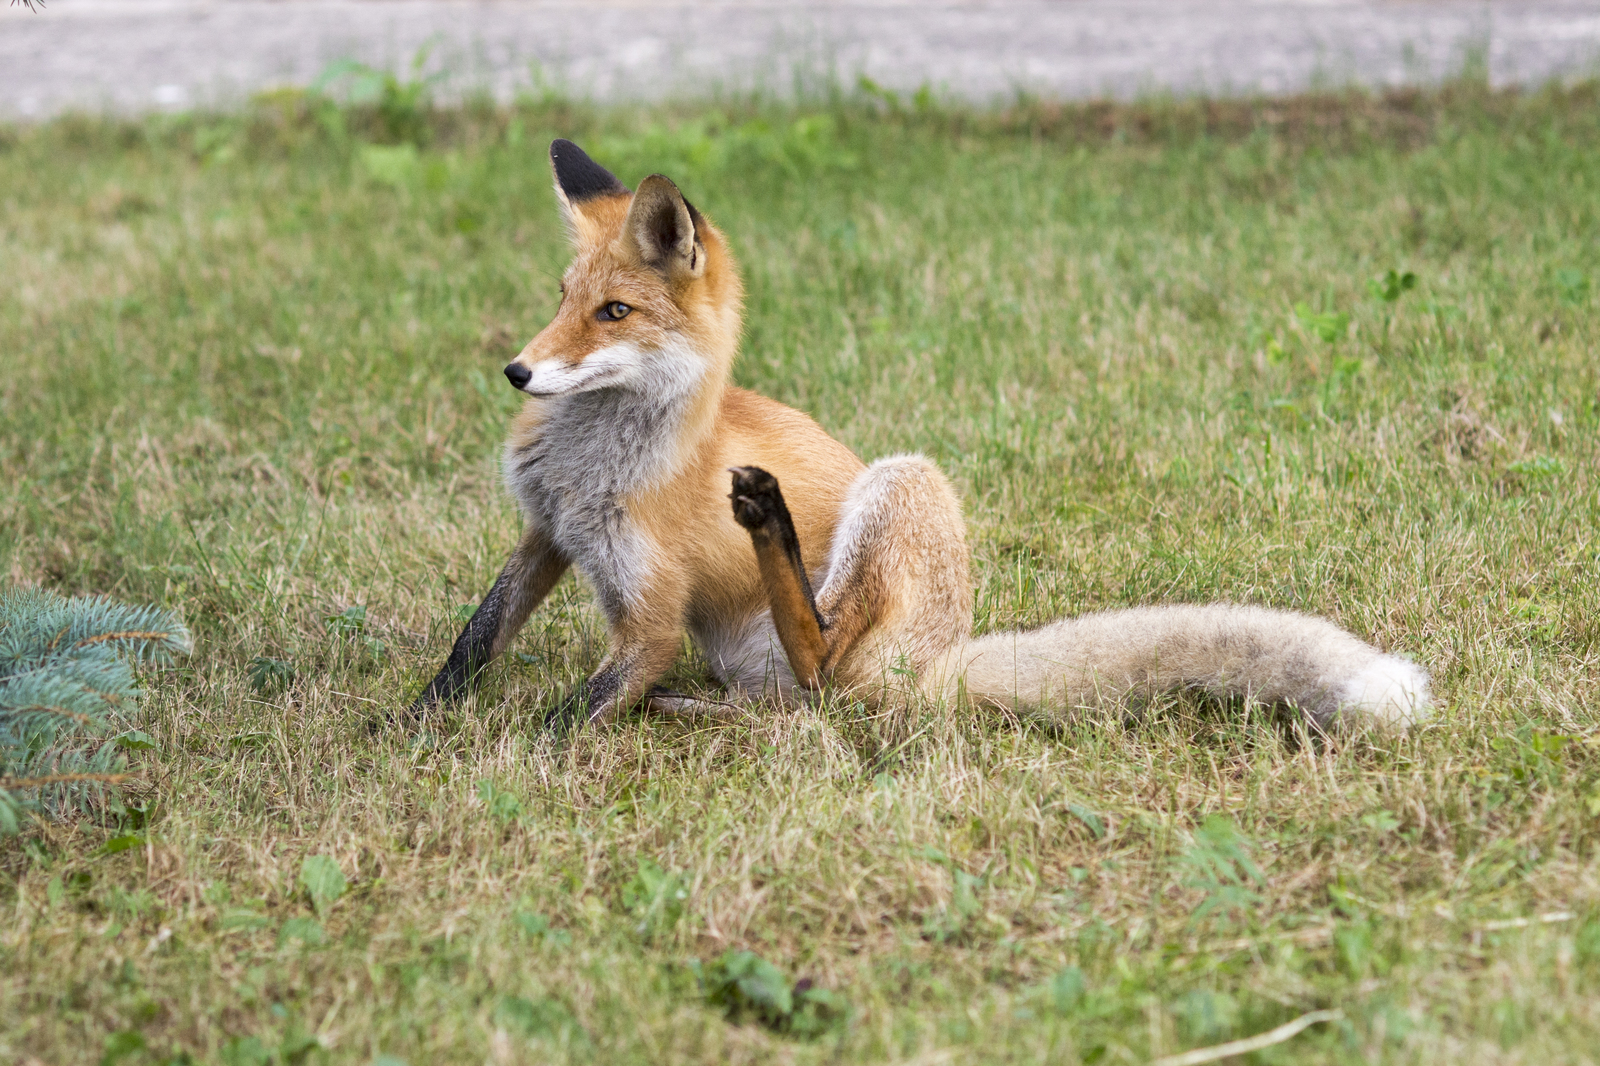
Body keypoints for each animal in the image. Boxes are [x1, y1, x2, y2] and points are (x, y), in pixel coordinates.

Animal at [409, 140, 1427, 729]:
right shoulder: (550, 532)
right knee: (800, 703)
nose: (518, 373)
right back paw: (700, 706)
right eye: (563, 301)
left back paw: (767, 527)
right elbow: (475, 638)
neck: (589, 466)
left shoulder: (650, 613)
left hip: (904, 485)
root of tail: (939, 662)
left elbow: (572, 712)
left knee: (822, 664)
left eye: (614, 313)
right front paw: (416, 722)